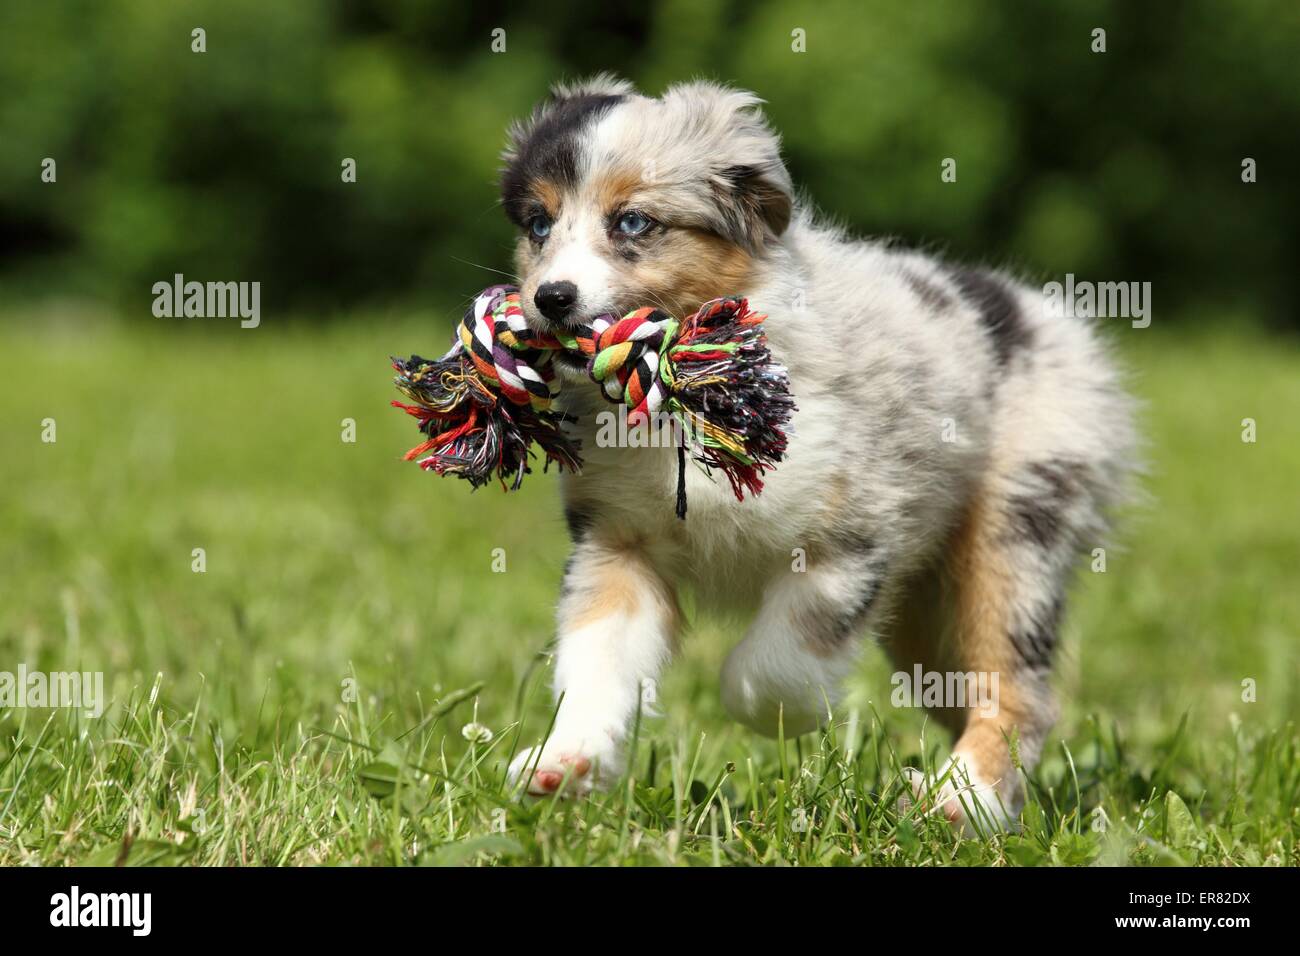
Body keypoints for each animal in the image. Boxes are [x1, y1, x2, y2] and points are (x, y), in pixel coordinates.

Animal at [501, 72, 1133, 832]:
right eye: (538, 225)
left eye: (632, 223)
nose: (550, 298)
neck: (683, 392)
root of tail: (1035, 311)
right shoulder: (618, 542)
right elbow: (596, 657)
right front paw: (566, 763)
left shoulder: (850, 537)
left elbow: (772, 665)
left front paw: (781, 716)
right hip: (927, 615)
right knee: (970, 690)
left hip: (1017, 529)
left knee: (1019, 690)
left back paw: (961, 800)